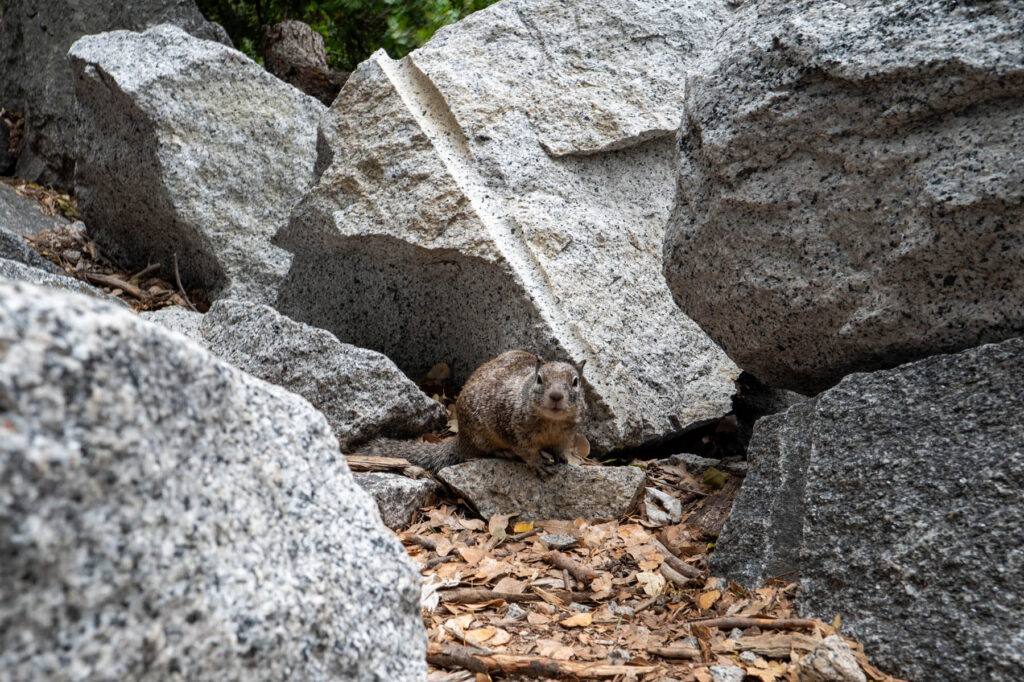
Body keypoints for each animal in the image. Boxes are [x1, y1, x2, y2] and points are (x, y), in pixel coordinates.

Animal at [360, 350, 586, 475]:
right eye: (539, 379)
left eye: (576, 382)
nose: (556, 396)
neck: (552, 422)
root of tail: (462, 439)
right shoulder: (515, 432)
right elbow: (527, 451)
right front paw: (538, 463)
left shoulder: (565, 436)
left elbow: (559, 449)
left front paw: (562, 458)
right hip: (482, 437)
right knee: (482, 452)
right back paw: (503, 452)